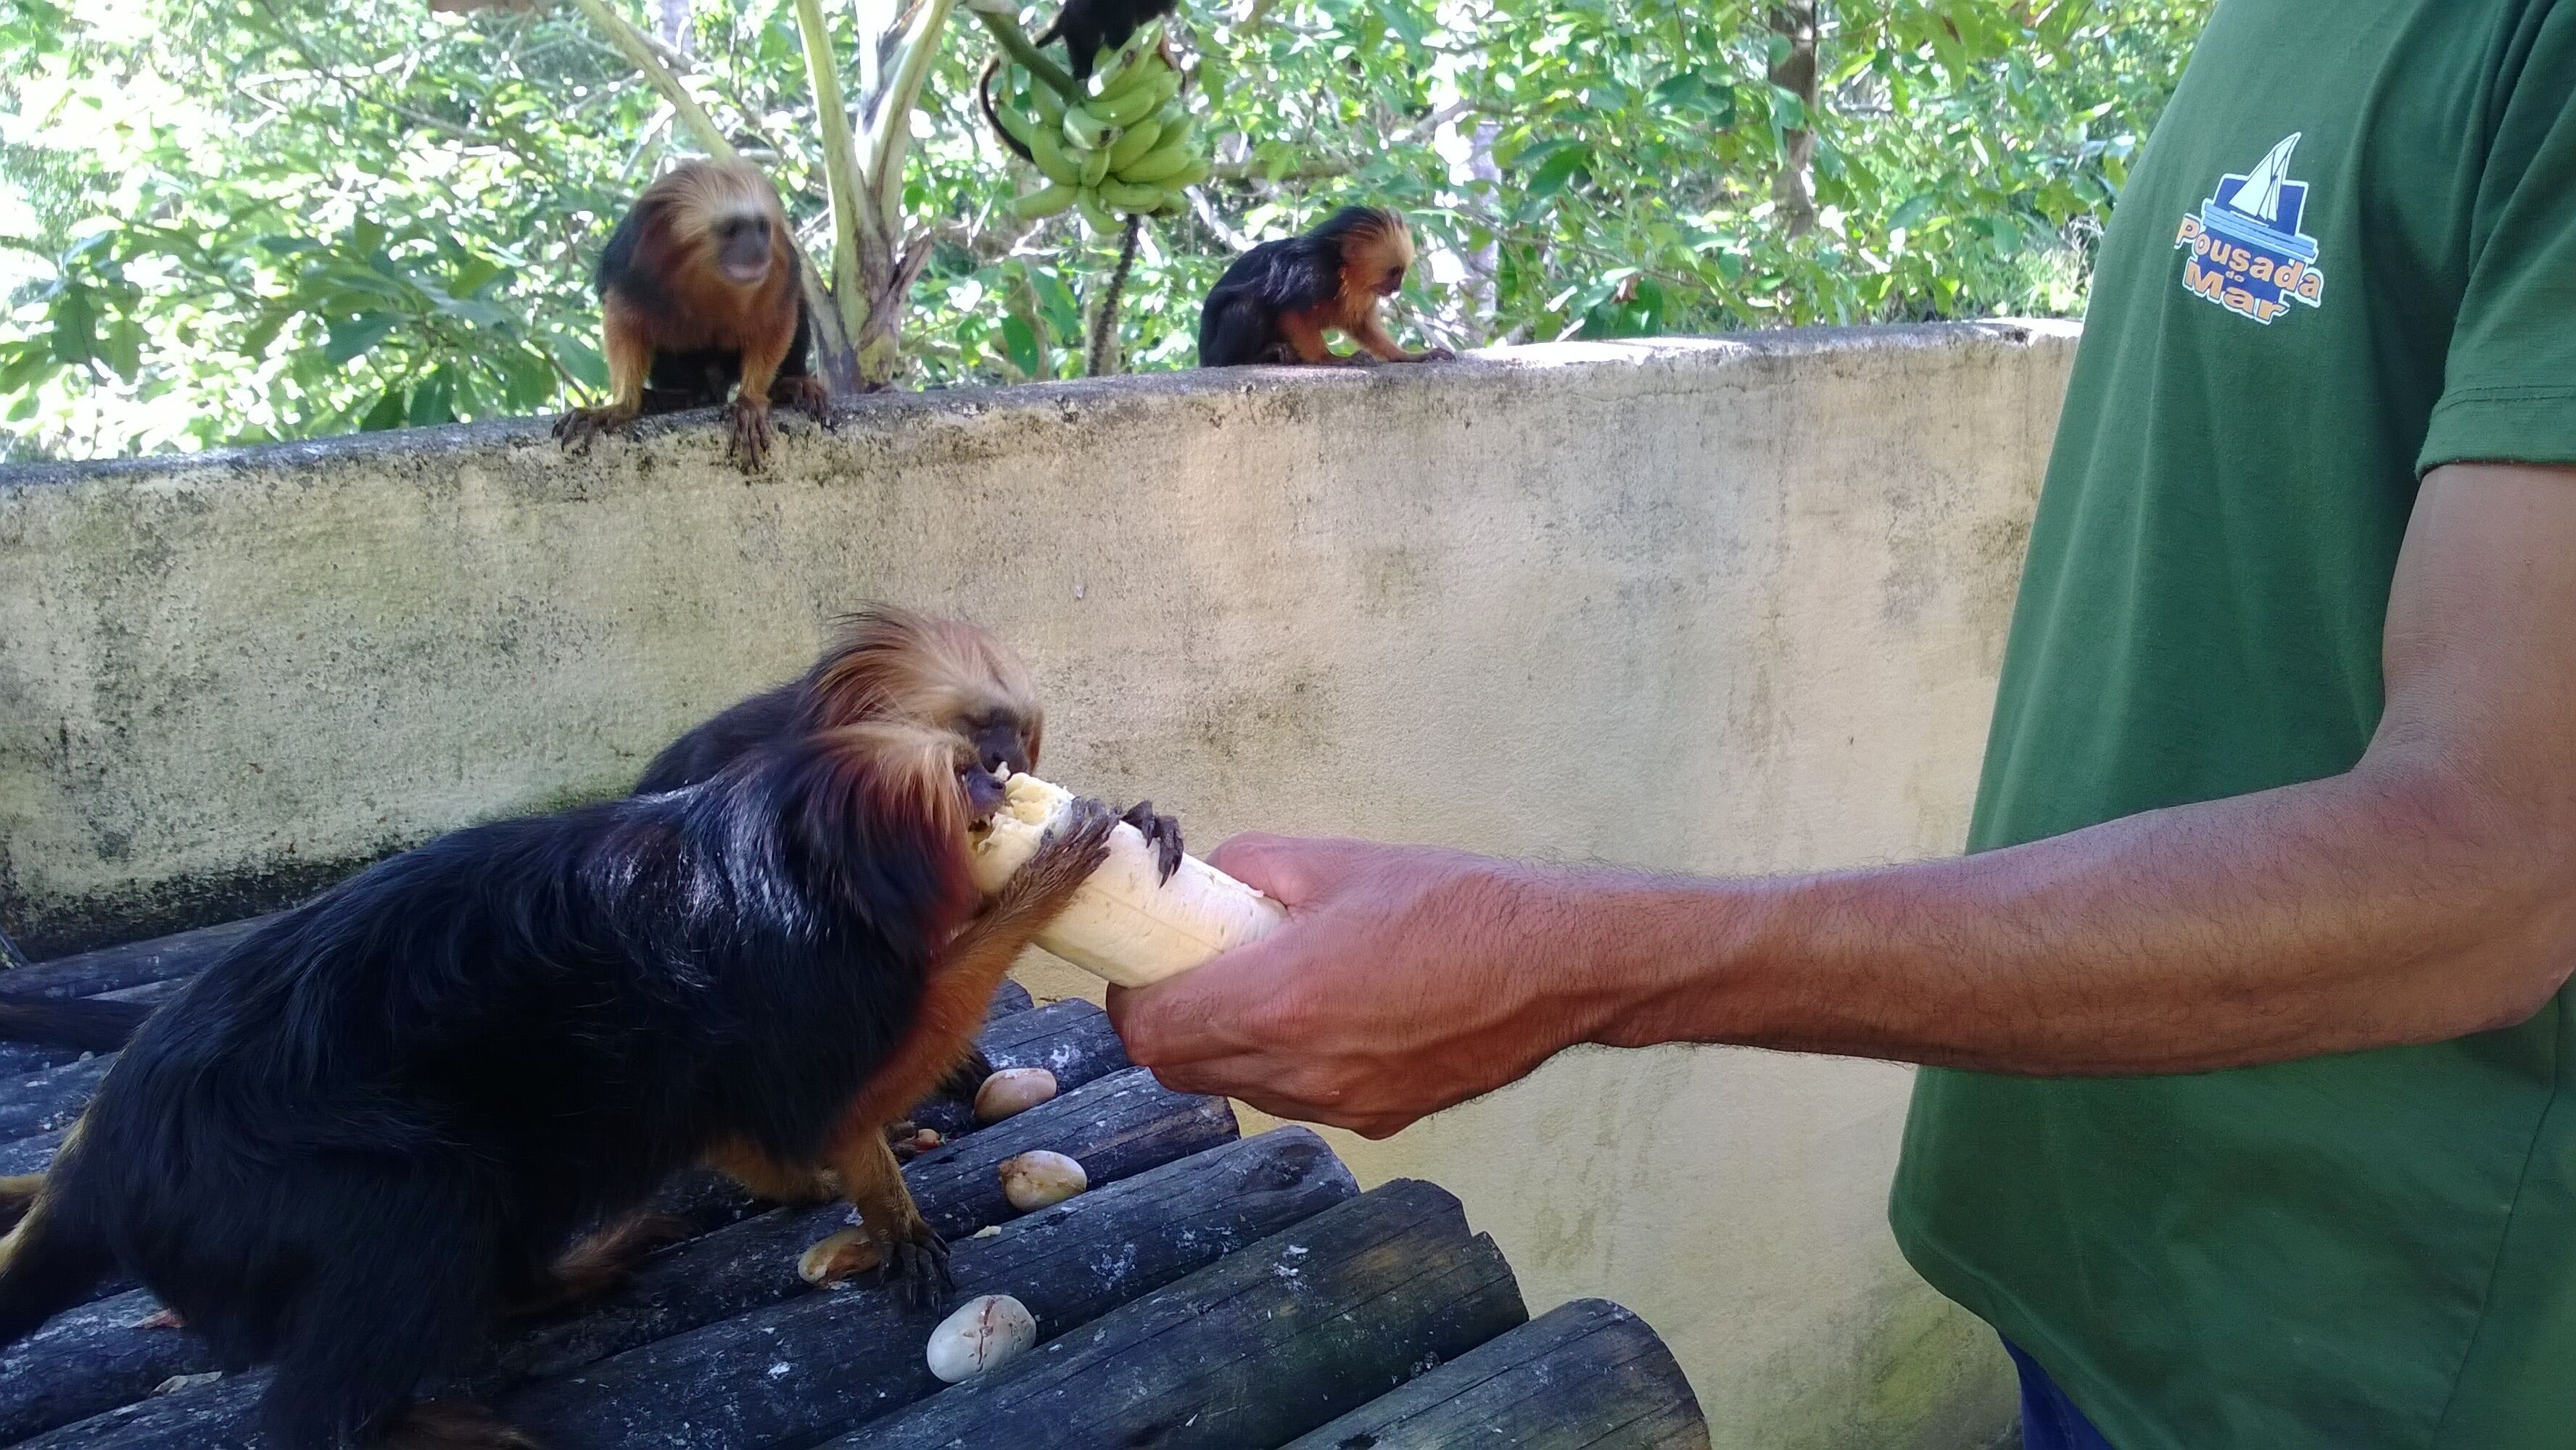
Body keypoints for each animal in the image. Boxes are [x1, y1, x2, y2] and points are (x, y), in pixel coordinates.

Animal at [0, 700, 1118, 1448]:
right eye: (964, 783)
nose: (998, 777)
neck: (797, 864)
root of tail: (106, 1160)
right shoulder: (804, 973)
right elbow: (821, 1093)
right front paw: (1044, 877)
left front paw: (851, 1194)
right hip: (259, 1188)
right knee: (416, 1204)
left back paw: (550, 1279)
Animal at [553, 158, 829, 473]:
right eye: (733, 229)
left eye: (761, 228)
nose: (759, 249)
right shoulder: (633, 268)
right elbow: (625, 323)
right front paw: (621, 406)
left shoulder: (778, 270)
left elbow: (778, 319)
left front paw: (749, 401)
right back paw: (678, 397)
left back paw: (790, 384)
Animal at [1197, 206, 1457, 368]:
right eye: (1394, 272)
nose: (1397, 287)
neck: (1342, 273)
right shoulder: (1312, 274)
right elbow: (1290, 313)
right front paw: (1329, 359)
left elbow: (1361, 326)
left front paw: (1409, 356)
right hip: (1216, 353)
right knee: (1246, 306)